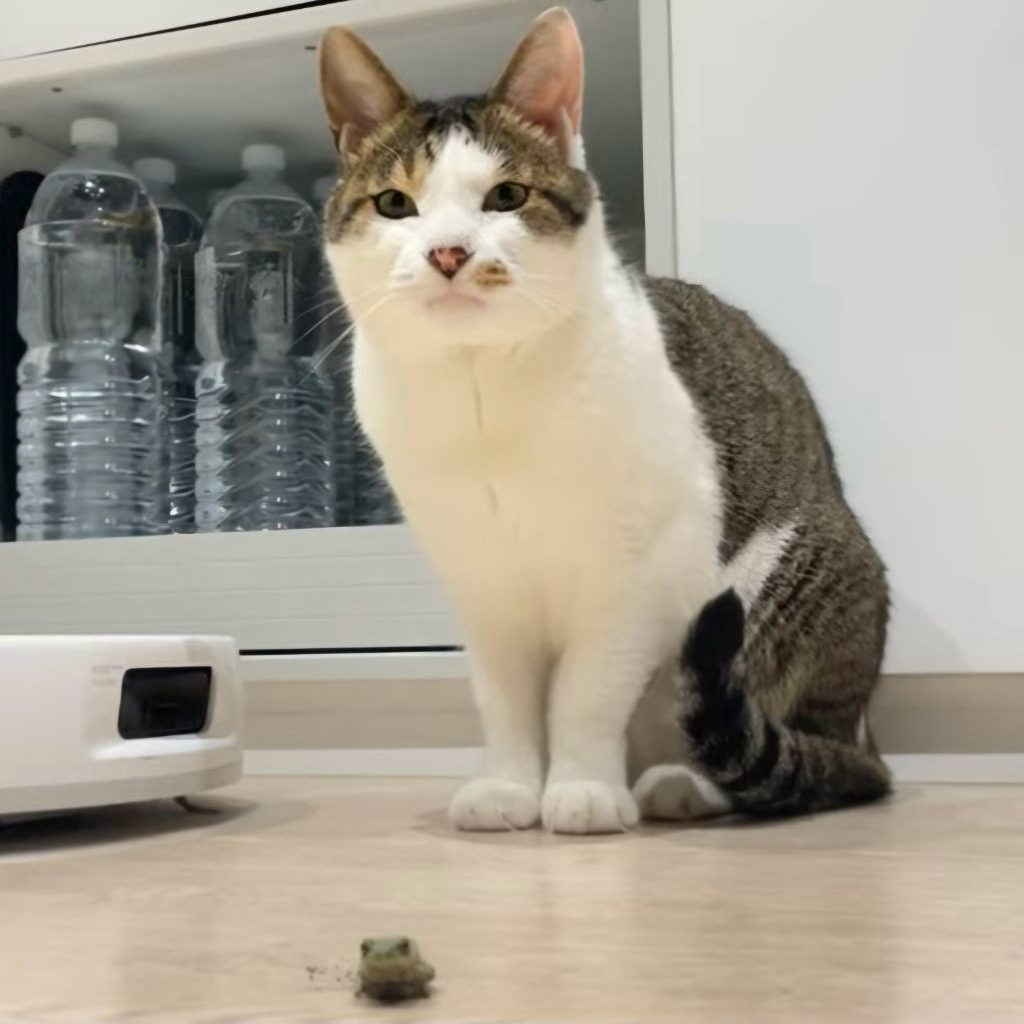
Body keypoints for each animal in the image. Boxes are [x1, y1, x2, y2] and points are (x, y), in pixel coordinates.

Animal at [317, 6, 891, 834]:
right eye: (396, 203)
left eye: (506, 196)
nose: (450, 254)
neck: (482, 391)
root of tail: (867, 730)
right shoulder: (482, 582)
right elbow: (506, 702)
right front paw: (511, 788)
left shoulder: (636, 575)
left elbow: (587, 695)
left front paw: (582, 788)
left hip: (782, 589)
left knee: (777, 741)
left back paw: (684, 785)